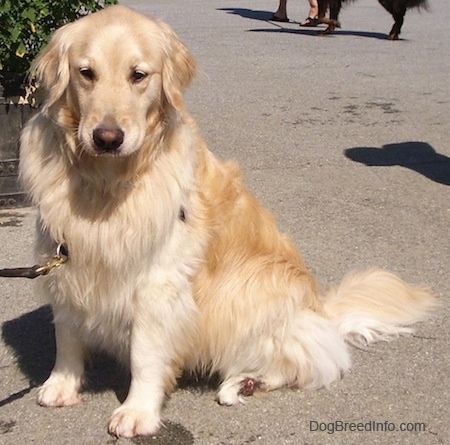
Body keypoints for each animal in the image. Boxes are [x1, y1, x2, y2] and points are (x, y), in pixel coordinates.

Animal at [20, 5, 436, 438]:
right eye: (86, 73)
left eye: (139, 75)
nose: (107, 137)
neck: (104, 184)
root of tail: (321, 310)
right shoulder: (62, 256)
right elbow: (66, 334)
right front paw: (62, 384)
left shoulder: (159, 284)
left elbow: (145, 354)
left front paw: (138, 411)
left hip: (255, 294)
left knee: (307, 361)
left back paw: (245, 381)